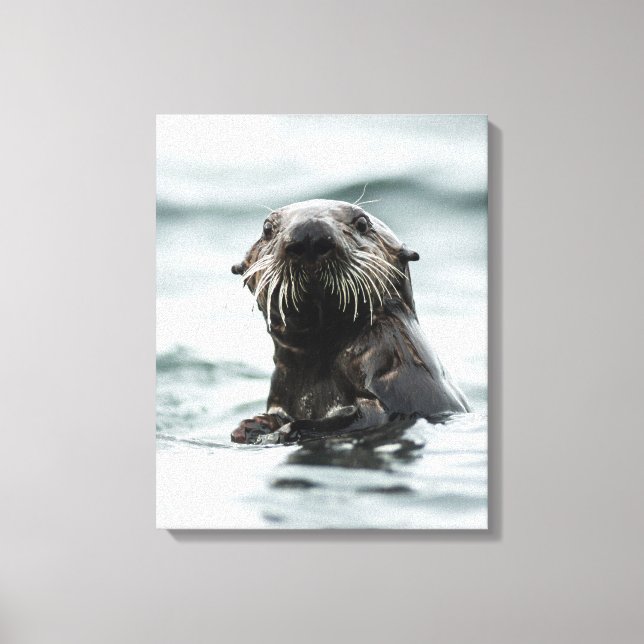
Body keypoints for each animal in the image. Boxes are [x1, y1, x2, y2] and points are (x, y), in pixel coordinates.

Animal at [230, 199, 470, 445]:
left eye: (362, 223)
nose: (309, 234)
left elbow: (363, 417)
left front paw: (282, 431)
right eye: (267, 228)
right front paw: (251, 427)